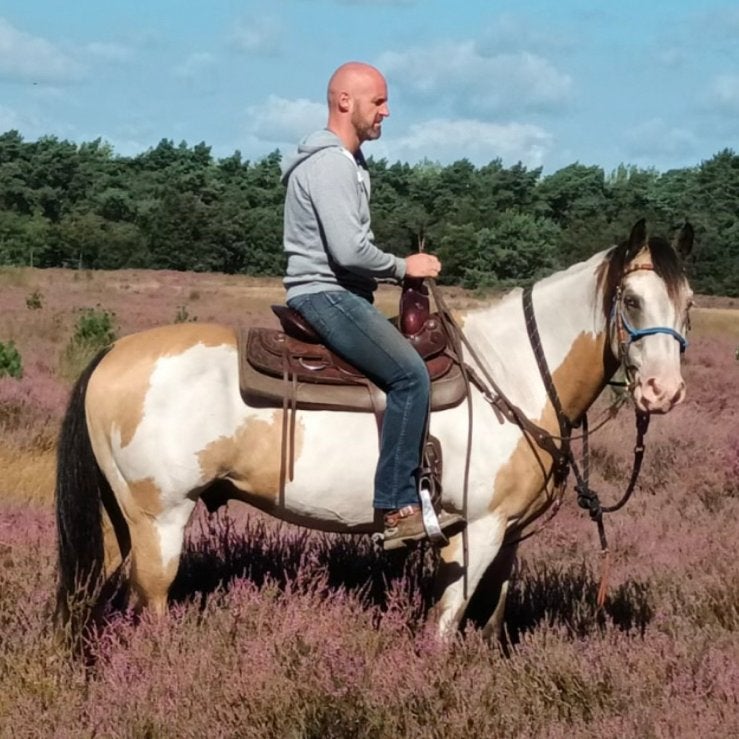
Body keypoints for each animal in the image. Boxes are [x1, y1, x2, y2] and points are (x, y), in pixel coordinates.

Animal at [54, 219, 694, 639]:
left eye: (688, 303)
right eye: (631, 300)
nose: (663, 392)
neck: (511, 373)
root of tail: (112, 353)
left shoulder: (509, 534)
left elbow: (488, 619)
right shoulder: (480, 529)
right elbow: (445, 623)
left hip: (125, 520)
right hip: (160, 518)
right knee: (152, 604)